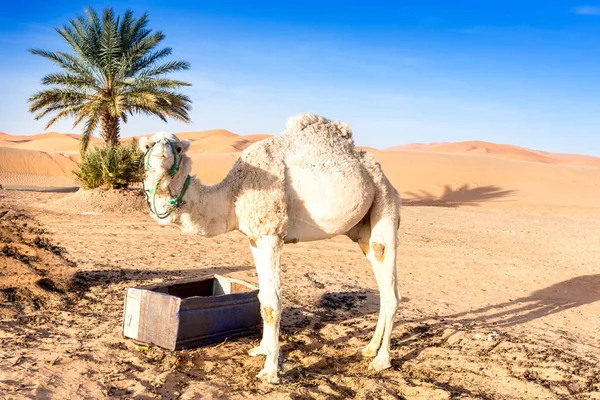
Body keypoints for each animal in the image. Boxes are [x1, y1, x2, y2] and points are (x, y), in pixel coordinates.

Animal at [140, 113, 400, 384]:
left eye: (178, 147)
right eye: (147, 146)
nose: (161, 153)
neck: (233, 195)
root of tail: (380, 174)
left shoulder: (270, 234)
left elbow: (272, 304)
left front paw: (270, 371)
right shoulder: (254, 237)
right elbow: (261, 296)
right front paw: (261, 349)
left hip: (386, 204)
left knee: (391, 288)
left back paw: (382, 360)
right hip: (363, 231)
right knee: (381, 284)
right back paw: (369, 348)